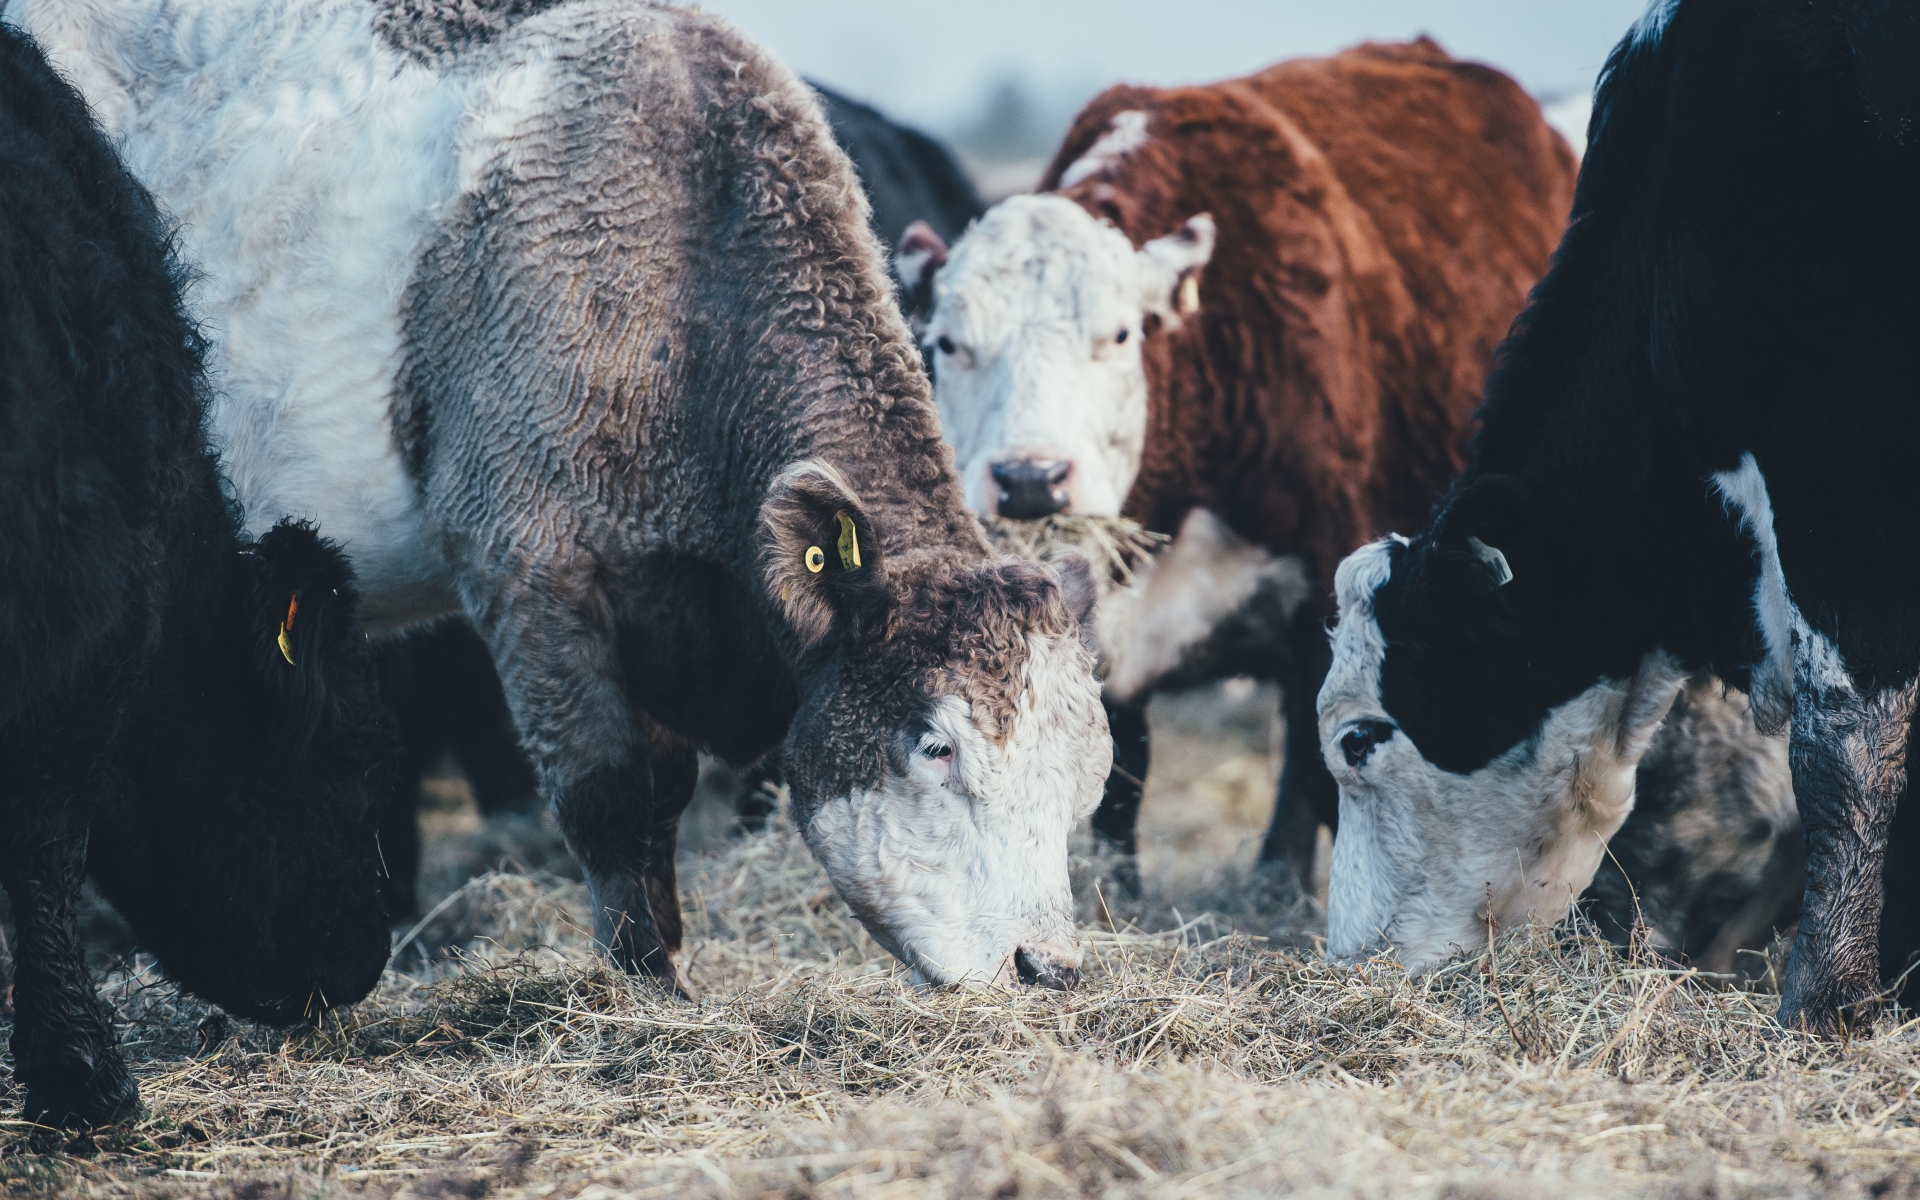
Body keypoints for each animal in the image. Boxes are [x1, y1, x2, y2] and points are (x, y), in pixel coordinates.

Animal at [9, 0, 1112, 994]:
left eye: (1085, 770)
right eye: (936, 745)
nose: (1048, 965)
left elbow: (661, 797)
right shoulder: (527, 568)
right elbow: (609, 796)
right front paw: (647, 990)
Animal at [897, 40, 1578, 883]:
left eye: (1119, 334)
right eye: (948, 343)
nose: (1030, 481)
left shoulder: (1329, 586)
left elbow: (1324, 767)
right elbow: (1117, 774)